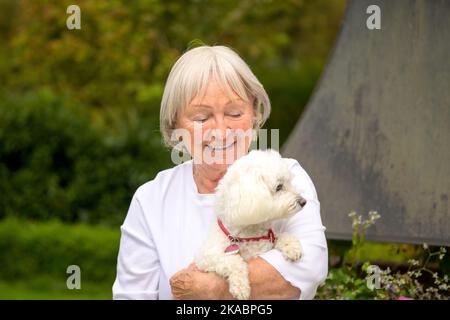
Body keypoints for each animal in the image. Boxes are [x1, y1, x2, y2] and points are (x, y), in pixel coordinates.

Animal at [196, 149, 306, 298]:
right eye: (279, 187)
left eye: (289, 182)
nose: (304, 202)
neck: (249, 236)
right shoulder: (206, 259)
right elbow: (234, 261)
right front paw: (241, 287)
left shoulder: (268, 241)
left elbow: (282, 236)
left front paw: (292, 248)